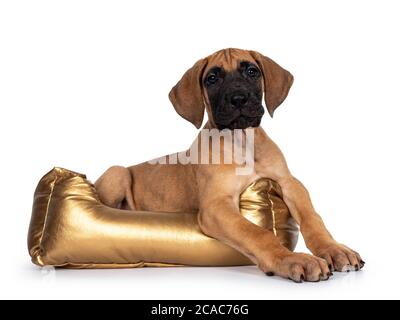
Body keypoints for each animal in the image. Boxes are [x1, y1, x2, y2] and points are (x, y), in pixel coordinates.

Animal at [95, 48, 364, 282]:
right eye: (212, 79)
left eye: (252, 72)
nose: (238, 99)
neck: (242, 141)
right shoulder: (217, 206)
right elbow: (257, 233)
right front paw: (291, 259)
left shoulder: (290, 183)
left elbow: (312, 218)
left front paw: (334, 249)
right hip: (117, 173)